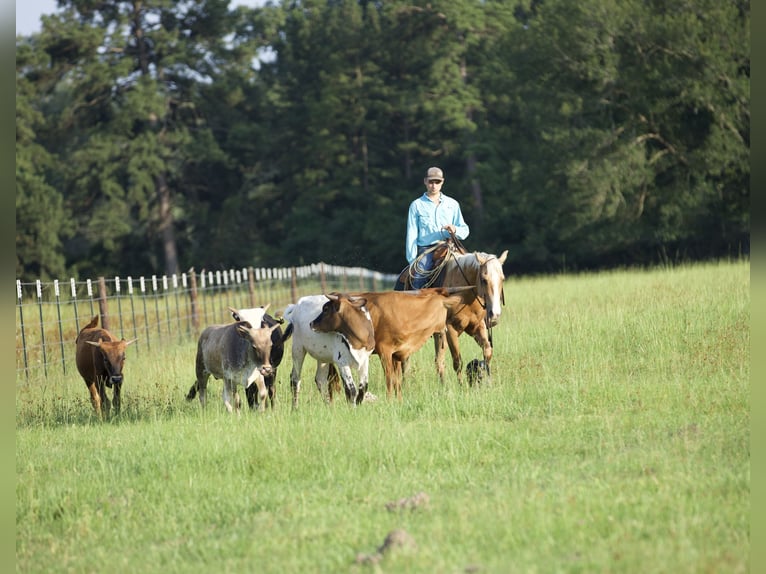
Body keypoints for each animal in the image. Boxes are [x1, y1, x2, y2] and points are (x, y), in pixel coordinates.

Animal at [312, 288, 474, 400]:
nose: (444, 330)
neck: (406, 313)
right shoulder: (385, 351)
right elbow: (390, 378)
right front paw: (390, 400)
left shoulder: (396, 354)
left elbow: (397, 381)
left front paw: (399, 400)